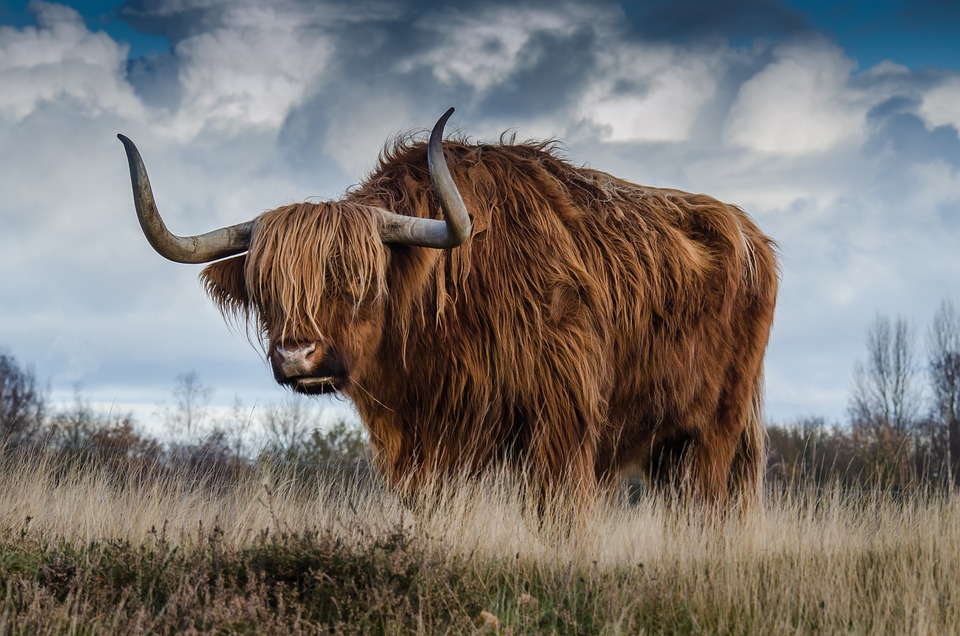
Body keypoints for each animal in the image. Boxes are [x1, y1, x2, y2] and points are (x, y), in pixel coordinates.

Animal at [118, 108, 778, 514]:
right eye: (266, 288)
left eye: (358, 280)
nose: (296, 355)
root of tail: (749, 233)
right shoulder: (425, 442)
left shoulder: (561, 424)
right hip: (670, 442)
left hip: (716, 429)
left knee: (708, 507)